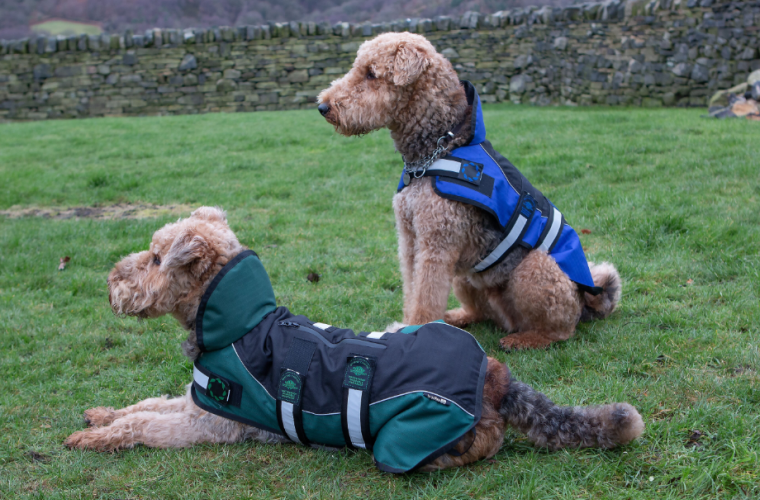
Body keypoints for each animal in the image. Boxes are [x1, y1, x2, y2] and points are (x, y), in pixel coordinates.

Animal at [65, 208, 644, 472]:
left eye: (156, 258)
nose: (111, 281)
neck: (239, 323)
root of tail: (496, 379)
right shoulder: (193, 401)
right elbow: (142, 404)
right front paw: (98, 417)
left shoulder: (208, 422)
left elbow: (143, 423)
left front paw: (91, 438)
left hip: (409, 439)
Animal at [320, 33, 624, 350]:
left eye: (371, 73)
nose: (323, 106)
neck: (436, 151)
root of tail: (589, 301)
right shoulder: (410, 241)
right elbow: (412, 292)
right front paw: (406, 326)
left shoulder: (435, 245)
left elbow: (424, 299)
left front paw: (416, 331)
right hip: (466, 277)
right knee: (480, 313)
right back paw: (455, 317)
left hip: (535, 267)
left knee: (560, 330)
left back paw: (522, 339)